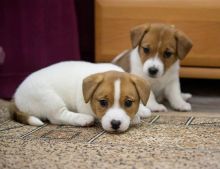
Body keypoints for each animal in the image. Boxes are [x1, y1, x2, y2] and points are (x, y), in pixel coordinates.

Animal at [12, 60, 151, 132]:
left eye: (128, 103)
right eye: (103, 102)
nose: (115, 124)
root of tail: (16, 96)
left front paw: (142, 110)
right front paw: (135, 117)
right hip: (48, 97)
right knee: (57, 116)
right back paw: (83, 119)